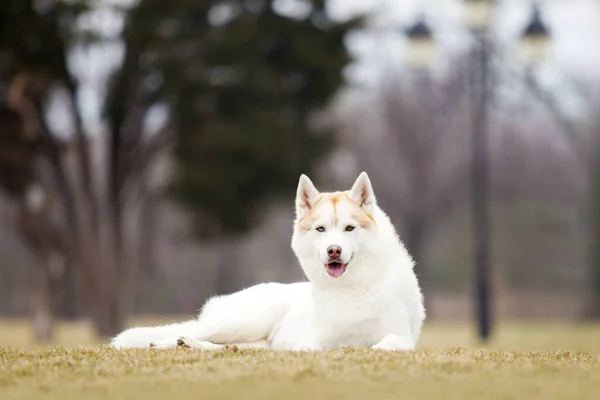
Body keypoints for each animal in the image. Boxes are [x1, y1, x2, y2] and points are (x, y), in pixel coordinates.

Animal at [110, 172, 424, 350]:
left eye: (349, 228)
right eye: (321, 229)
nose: (334, 251)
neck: (352, 288)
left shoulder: (401, 337)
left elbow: (385, 344)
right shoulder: (311, 342)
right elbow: (317, 348)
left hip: (253, 342)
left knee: (225, 348)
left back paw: (189, 346)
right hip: (244, 322)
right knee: (191, 332)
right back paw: (164, 343)